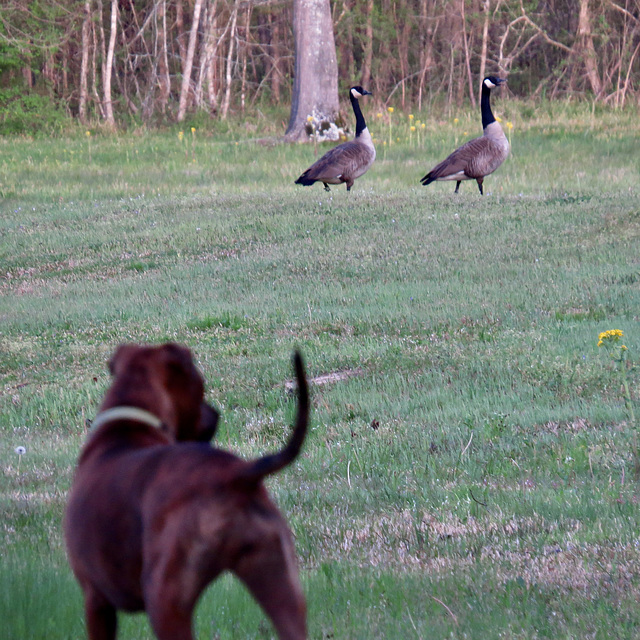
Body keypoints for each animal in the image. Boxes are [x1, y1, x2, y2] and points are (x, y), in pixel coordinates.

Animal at [65, 344, 310, 640]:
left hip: (165, 600)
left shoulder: (96, 601)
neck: (126, 428)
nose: (216, 414)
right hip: (280, 585)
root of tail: (234, 475)